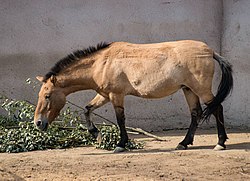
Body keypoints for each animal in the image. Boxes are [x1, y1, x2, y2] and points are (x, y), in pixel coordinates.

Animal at [33, 40, 232, 153]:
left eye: (47, 95)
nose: (38, 123)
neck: (102, 63)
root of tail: (210, 51)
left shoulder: (116, 96)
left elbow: (120, 119)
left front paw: (120, 144)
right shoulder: (104, 95)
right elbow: (87, 110)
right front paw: (97, 135)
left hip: (201, 90)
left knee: (217, 108)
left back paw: (220, 143)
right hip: (188, 90)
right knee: (195, 113)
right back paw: (183, 143)